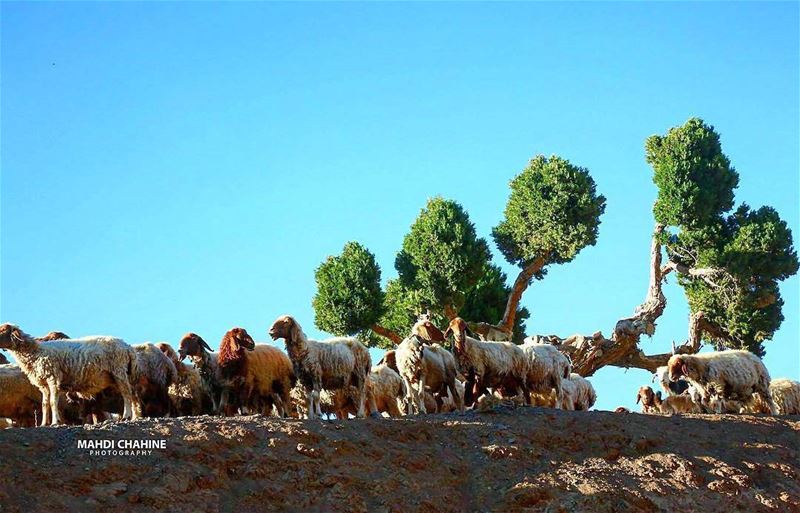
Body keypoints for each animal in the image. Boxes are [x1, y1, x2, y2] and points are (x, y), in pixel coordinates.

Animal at [0, 324, 139, 424]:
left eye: (3, 330)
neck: (36, 351)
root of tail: (128, 347)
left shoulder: (53, 377)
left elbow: (53, 402)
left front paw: (55, 422)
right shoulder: (43, 384)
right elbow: (45, 404)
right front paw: (44, 423)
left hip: (119, 371)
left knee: (127, 393)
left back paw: (127, 416)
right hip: (115, 376)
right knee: (127, 394)